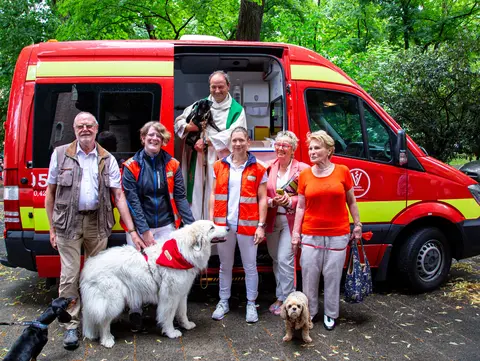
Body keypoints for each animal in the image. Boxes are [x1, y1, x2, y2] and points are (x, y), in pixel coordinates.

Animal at [80, 219, 227, 346]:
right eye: (212, 228)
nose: (228, 228)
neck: (182, 253)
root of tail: (88, 267)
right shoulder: (170, 296)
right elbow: (168, 315)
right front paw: (171, 332)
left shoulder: (181, 293)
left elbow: (182, 312)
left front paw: (186, 325)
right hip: (113, 301)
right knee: (103, 321)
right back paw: (107, 340)